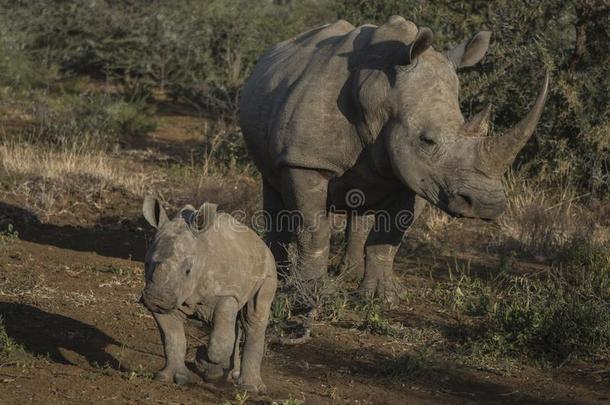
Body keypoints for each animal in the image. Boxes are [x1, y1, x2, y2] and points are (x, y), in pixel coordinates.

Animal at [140, 196, 276, 392]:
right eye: (146, 265)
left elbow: (220, 343)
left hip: (268, 268)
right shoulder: (170, 296)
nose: (156, 298)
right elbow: (172, 337)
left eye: (188, 271)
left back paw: (249, 388)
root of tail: (258, 239)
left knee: (253, 317)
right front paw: (170, 377)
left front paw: (202, 360)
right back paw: (225, 374)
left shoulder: (226, 292)